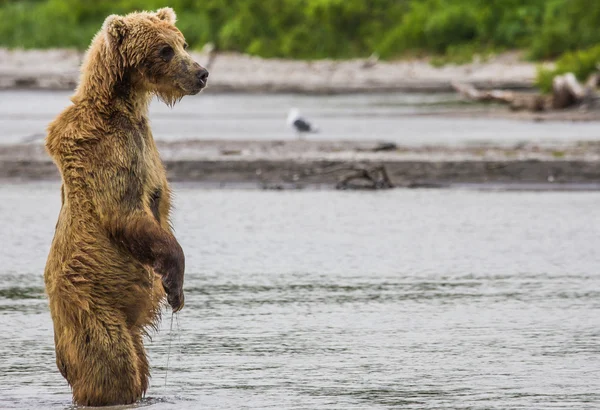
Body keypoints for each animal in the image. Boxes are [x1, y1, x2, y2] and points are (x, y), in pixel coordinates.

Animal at [42, 7, 206, 406]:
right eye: (165, 50)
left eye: (183, 42)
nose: (201, 73)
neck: (123, 105)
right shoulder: (109, 153)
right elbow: (127, 215)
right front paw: (174, 282)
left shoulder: (145, 145)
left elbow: (160, 205)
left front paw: (175, 290)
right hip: (90, 304)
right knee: (113, 362)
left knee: (137, 360)